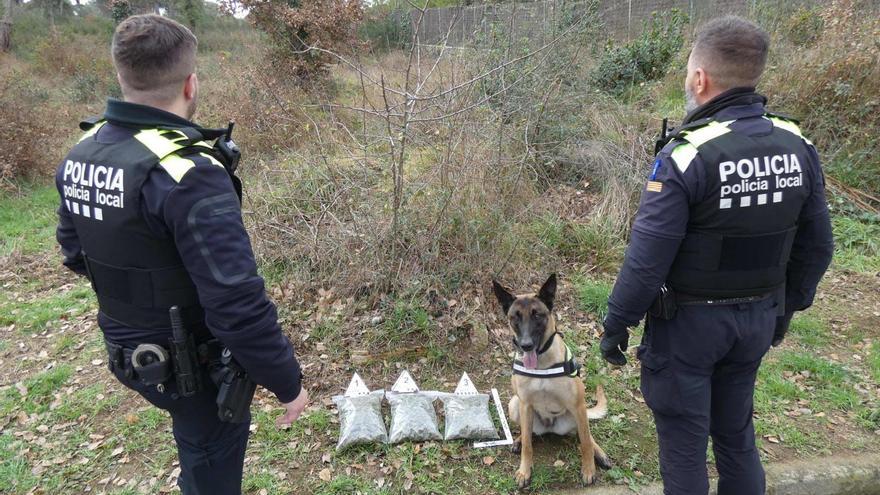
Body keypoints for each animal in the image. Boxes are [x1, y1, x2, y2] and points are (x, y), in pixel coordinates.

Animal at [492, 276, 608, 488]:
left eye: (537, 315)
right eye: (515, 317)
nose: (526, 345)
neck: (541, 365)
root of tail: (549, 427)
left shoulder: (577, 405)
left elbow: (585, 442)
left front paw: (589, 470)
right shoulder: (525, 404)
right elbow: (528, 446)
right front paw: (524, 471)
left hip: (577, 414)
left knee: (586, 435)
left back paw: (600, 453)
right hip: (514, 404)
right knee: (529, 433)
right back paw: (519, 439)